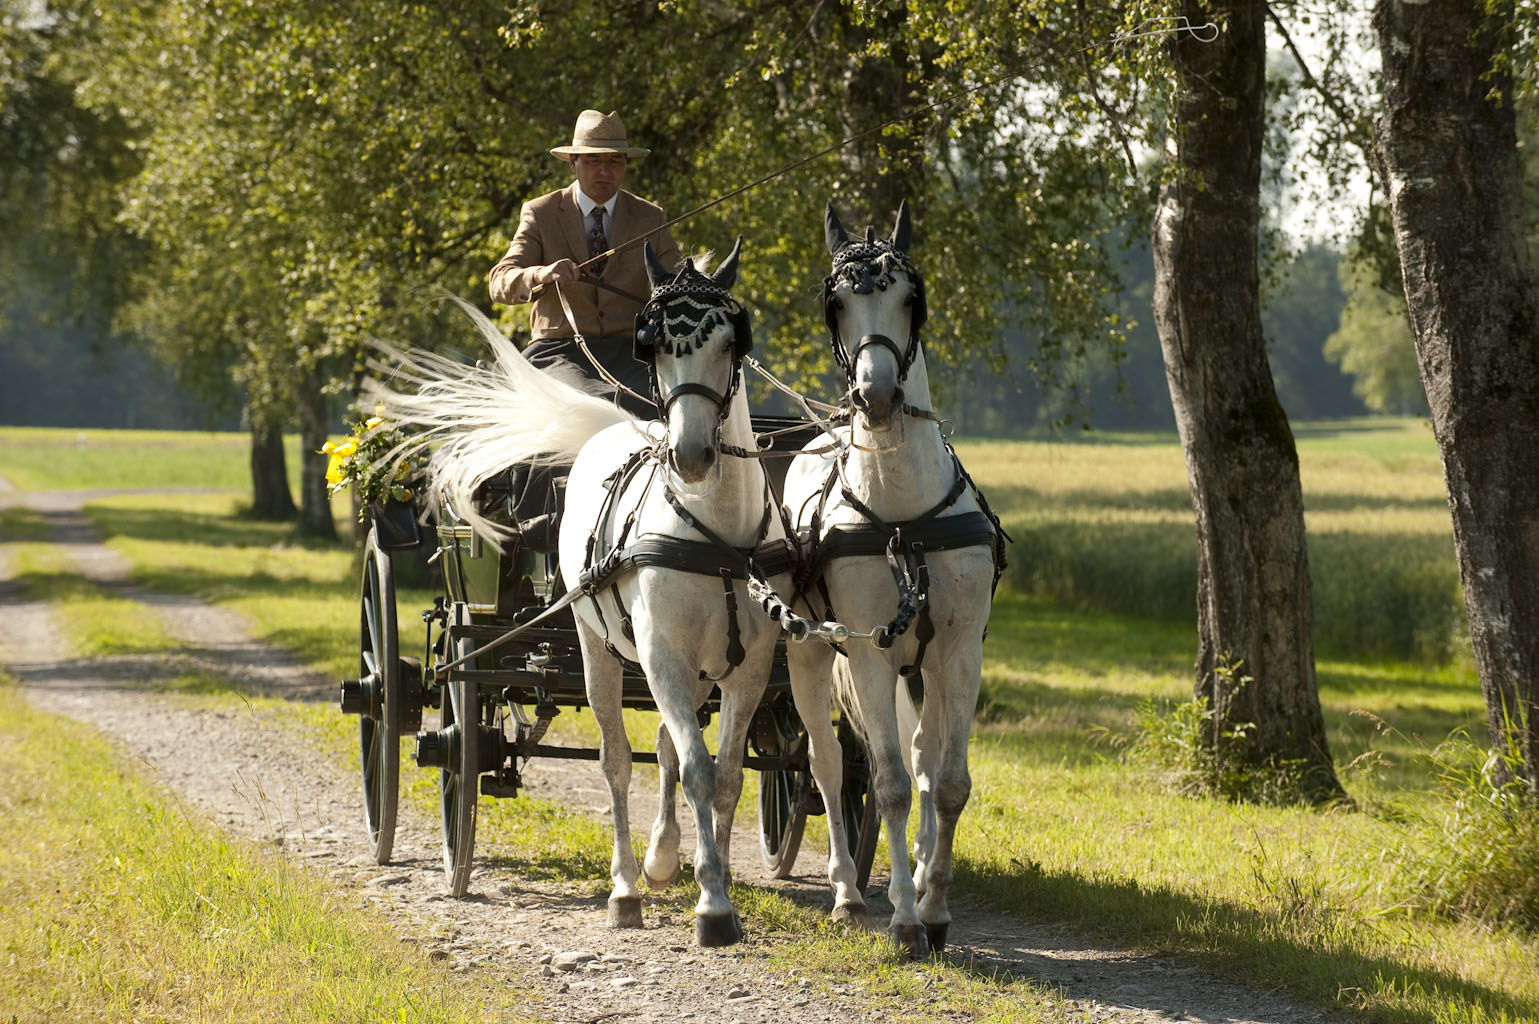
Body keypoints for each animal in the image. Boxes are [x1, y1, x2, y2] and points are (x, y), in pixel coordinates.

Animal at [781, 203, 1009, 954]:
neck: (904, 514)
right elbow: (885, 787)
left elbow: (947, 782)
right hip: (810, 654)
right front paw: (906, 919)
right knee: (826, 764)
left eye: (911, 299)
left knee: (920, 755)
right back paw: (848, 893)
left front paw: (935, 907)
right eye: (836, 303)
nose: (875, 395)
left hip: (921, 665)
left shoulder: (957, 652)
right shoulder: (870, 654)